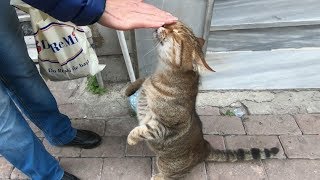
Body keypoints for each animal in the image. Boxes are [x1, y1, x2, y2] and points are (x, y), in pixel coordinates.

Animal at [125, 21, 278, 179]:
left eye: (176, 33)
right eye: (172, 23)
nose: (163, 24)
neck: (161, 73)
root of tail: (205, 148)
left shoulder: (166, 126)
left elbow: (145, 129)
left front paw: (131, 139)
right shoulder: (147, 83)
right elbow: (141, 80)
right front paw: (129, 89)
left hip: (166, 163)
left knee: (174, 175)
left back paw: (158, 176)